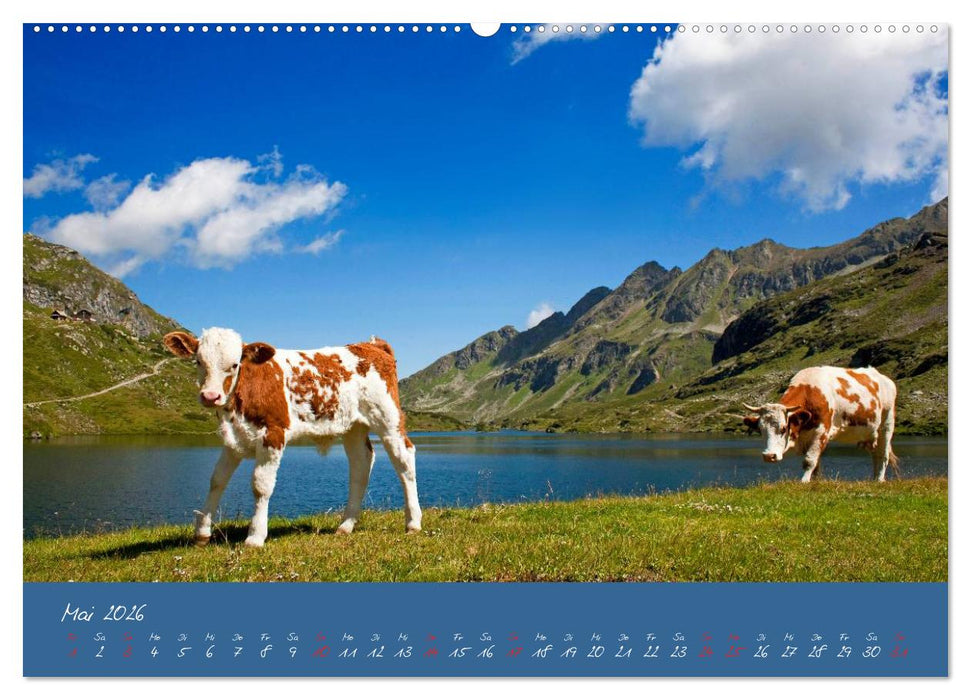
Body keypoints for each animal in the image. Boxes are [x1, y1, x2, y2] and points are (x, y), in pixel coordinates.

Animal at [163, 327, 422, 547]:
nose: (210, 396)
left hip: (387, 418)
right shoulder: (234, 441)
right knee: (361, 465)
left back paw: (413, 522)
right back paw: (346, 525)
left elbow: (261, 486)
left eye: (235, 364)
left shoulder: (273, 434)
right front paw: (202, 533)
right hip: (354, 426)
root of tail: (371, 345)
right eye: (198, 361)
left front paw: (255, 536)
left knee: (404, 460)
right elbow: (217, 480)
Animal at [742, 366, 899, 483]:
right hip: (869, 434)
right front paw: (815, 482)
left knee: (883, 454)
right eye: (760, 430)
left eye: (783, 428)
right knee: (875, 454)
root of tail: (885, 379)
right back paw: (874, 479)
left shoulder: (821, 432)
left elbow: (810, 460)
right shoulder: (806, 436)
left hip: (887, 424)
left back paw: (880, 480)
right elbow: (816, 464)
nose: (769, 456)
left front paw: (804, 482)